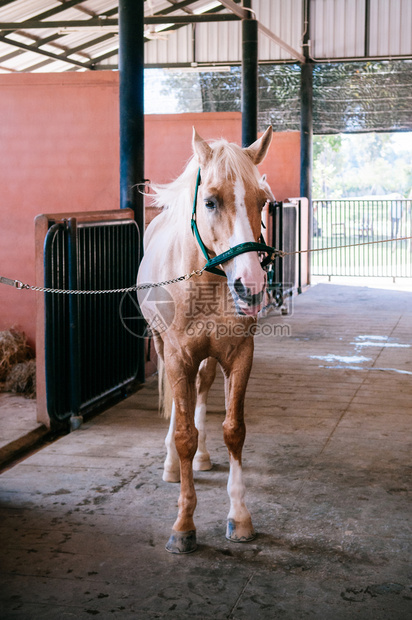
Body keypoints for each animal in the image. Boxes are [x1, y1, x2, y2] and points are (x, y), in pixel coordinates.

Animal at [138, 124, 274, 552]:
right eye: (211, 201)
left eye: (263, 200)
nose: (251, 287)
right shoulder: (178, 356)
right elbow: (183, 432)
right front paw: (183, 525)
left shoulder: (239, 355)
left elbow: (234, 430)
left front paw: (240, 516)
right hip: (163, 347)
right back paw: (171, 466)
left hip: (211, 360)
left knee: (201, 391)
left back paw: (200, 459)